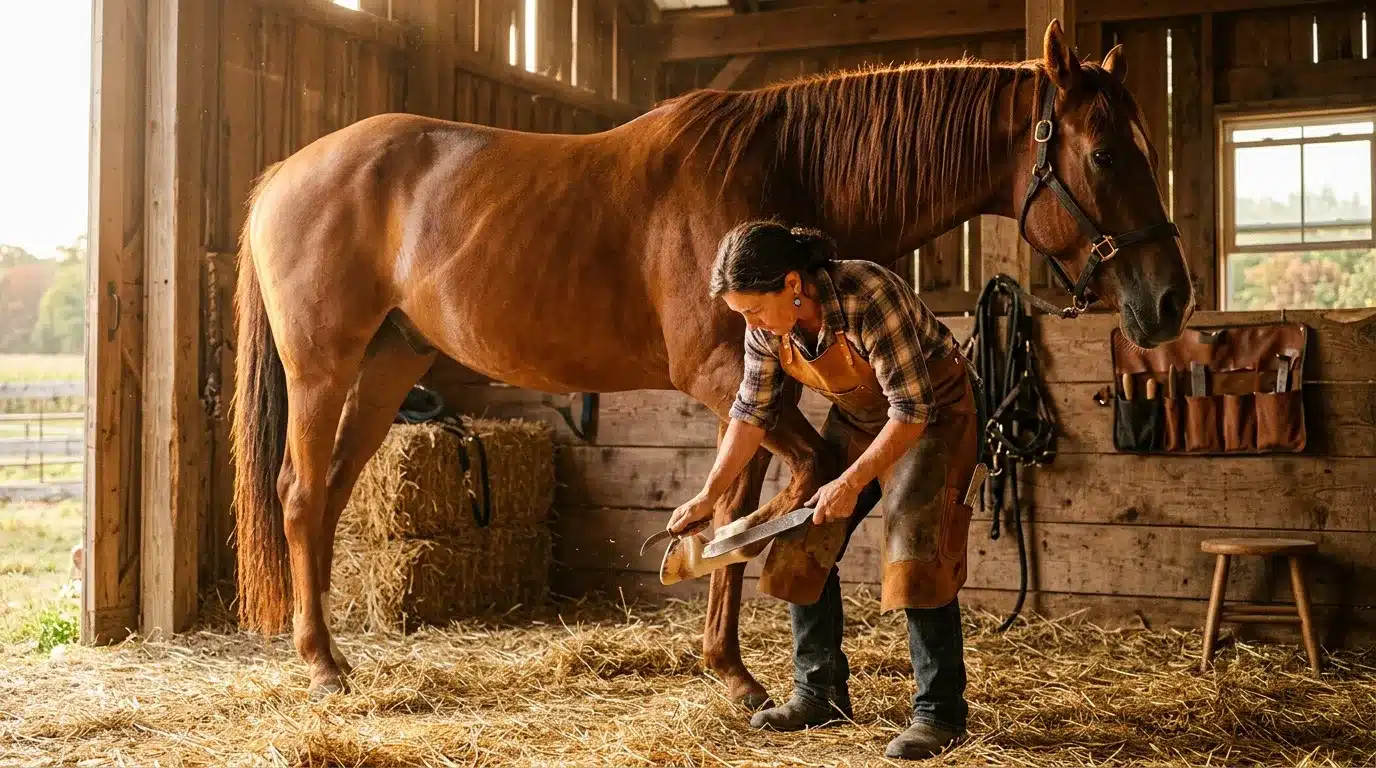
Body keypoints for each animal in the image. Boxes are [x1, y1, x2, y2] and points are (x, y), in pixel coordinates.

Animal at [231, 20, 1194, 706]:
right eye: (1106, 153)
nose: (1171, 300)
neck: (781, 175)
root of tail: (281, 173)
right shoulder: (723, 379)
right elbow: (792, 480)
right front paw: (738, 650)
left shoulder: (750, 392)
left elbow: (744, 499)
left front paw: (731, 660)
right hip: (324, 367)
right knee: (301, 492)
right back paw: (321, 665)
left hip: (391, 362)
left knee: (333, 494)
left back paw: (333, 650)